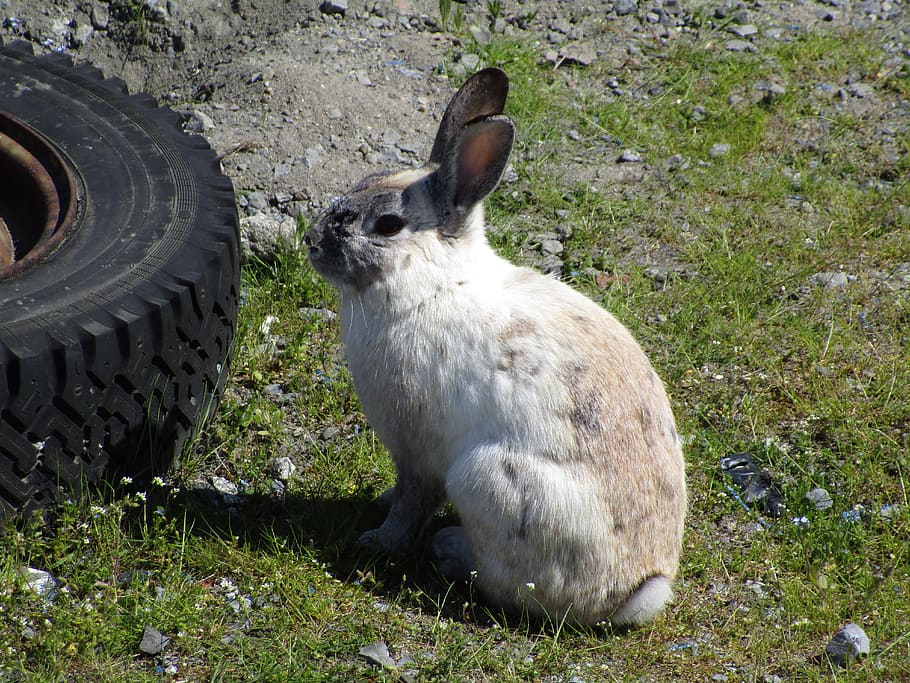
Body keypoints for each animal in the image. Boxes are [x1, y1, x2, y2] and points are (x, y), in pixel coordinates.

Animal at [304, 67, 686, 626]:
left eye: (388, 226)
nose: (312, 242)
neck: (433, 286)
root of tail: (637, 589)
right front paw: (379, 502)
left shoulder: (416, 446)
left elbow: (412, 502)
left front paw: (377, 540)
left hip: (485, 480)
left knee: (503, 583)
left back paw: (448, 549)